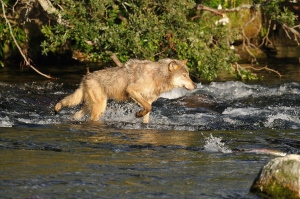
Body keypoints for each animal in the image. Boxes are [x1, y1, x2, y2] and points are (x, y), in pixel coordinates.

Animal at [54, 58, 197, 123]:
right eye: (185, 76)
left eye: (189, 75)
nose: (195, 86)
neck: (158, 76)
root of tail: (85, 78)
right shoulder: (132, 90)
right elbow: (148, 107)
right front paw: (138, 114)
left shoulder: (148, 100)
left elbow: (147, 113)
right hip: (100, 108)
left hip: (90, 106)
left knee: (75, 115)